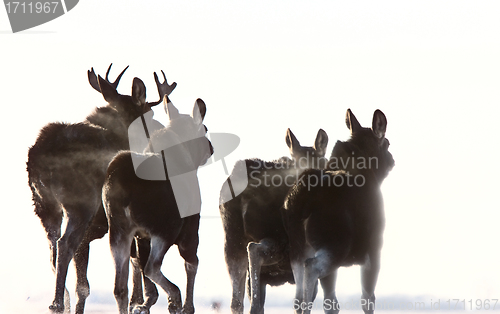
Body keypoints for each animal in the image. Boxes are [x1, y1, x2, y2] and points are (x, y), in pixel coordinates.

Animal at [27, 65, 177, 312]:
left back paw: (60, 301)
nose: (162, 133)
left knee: (53, 250)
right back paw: (57, 303)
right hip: (81, 204)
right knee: (65, 245)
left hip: (44, 206)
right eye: (150, 114)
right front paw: (142, 301)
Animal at [101, 96, 213, 314]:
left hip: (118, 230)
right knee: (152, 266)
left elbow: (140, 268)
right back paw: (175, 295)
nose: (211, 148)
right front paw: (186, 306)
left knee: (120, 286)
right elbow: (192, 264)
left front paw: (145, 303)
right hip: (165, 228)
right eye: (204, 129)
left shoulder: (141, 235)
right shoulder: (190, 227)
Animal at [282, 110, 394, 314]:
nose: (391, 159)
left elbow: (331, 302)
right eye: (387, 143)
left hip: (297, 248)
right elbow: (368, 299)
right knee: (311, 268)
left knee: (298, 295)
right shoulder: (374, 248)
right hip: (336, 243)